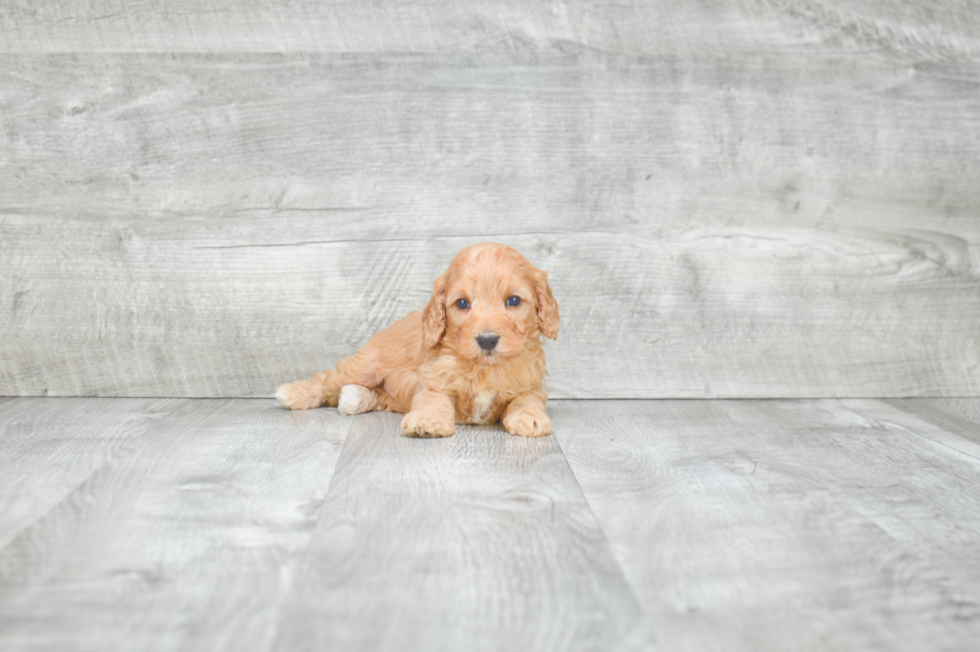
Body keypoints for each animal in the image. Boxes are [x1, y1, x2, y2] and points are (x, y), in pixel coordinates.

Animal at [272, 243, 560, 438]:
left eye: (514, 300)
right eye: (462, 303)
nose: (487, 340)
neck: (484, 368)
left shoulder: (530, 382)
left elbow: (527, 399)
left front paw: (530, 418)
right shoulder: (434, 377)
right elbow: (433, 398)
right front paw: (427, 423)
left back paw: (354, 398)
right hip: (366, 364)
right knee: (329, 378)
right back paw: (294, 393)